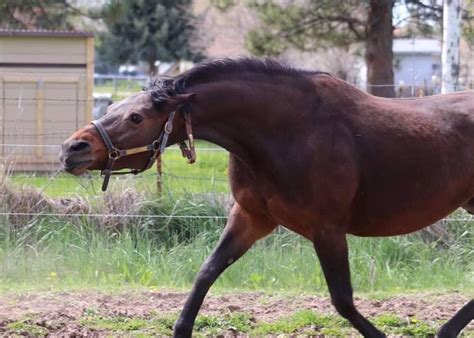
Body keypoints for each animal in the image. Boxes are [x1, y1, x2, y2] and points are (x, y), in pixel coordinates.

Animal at [61, 58, 472, 338]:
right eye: (111, 108)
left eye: (136, 117)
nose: (72, 149)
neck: (289, 131)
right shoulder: (251, 218)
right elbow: (205, 273)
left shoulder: (327, 230)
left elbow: (342, 300)